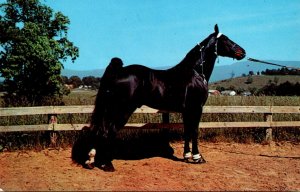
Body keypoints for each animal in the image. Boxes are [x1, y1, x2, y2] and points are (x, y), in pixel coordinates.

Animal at [72, 24, 246, 171]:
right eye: (225, 39)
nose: (243, 52)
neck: (195, 72)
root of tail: (117, 71)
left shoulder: (186, 111)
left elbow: (187, 131)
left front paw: (187, 156)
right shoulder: (196, 108)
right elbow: (194, 131)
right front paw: (198, 158)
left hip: (110, 110)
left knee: (99, 130)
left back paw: (91, 161)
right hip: (121, 110)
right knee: (108, 131)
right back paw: (107, 164)